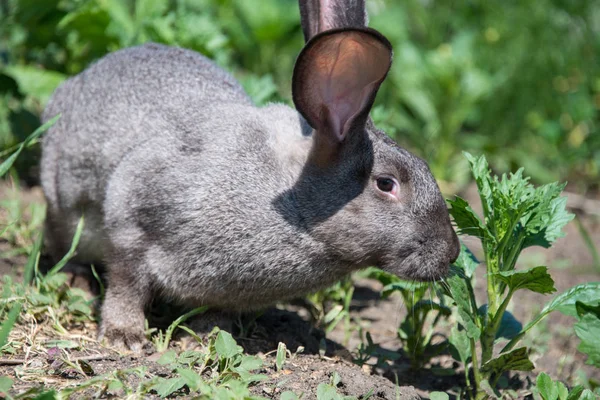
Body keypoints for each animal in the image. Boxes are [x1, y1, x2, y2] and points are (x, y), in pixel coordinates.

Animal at [39, 0, 460, 350]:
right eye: (386, 184)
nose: (451, 253)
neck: (293, 205)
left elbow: (217, 312)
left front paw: (207, 339)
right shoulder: (132, 212)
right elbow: (127, 282)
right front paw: (123, 336)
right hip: (63, 204)